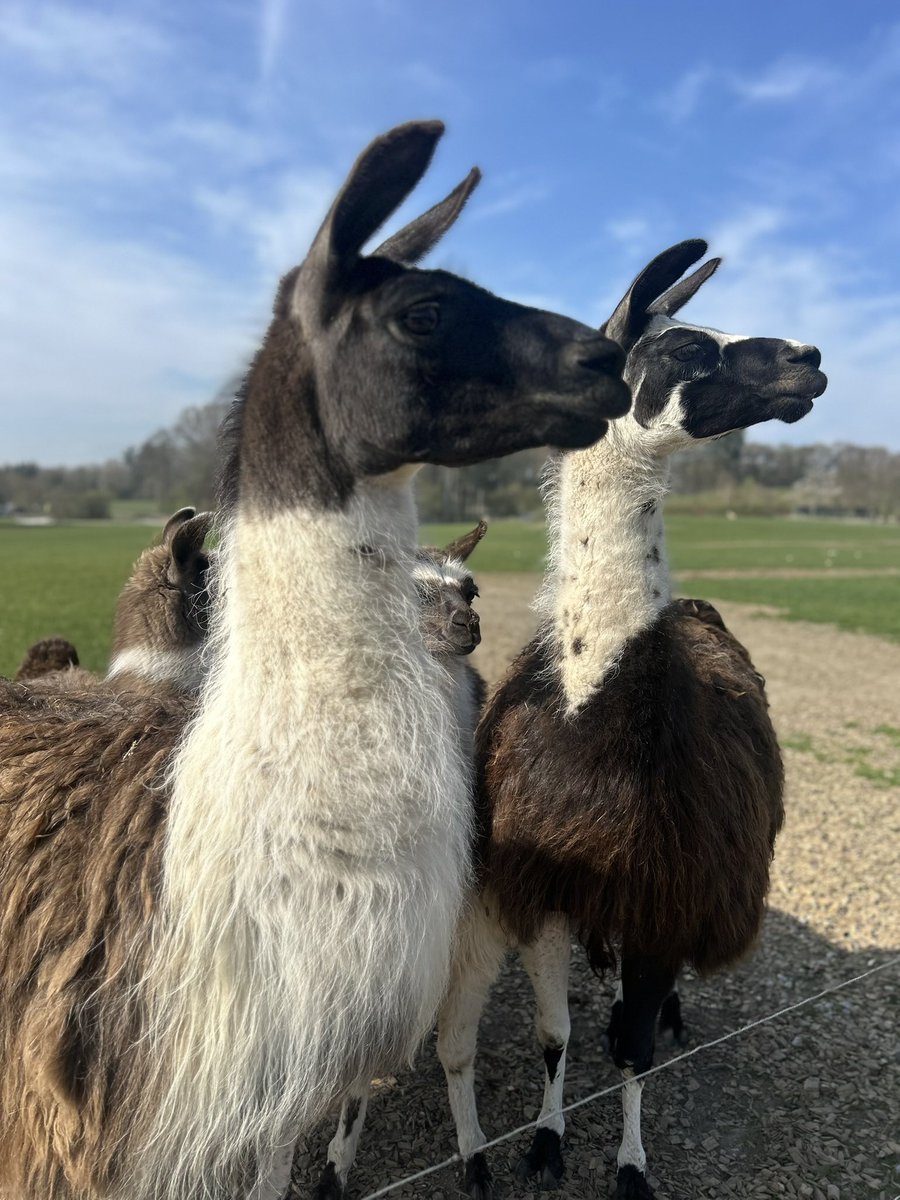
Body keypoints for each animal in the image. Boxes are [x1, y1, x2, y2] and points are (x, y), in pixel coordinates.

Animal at [436, 241, 827, 1200]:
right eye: (688, 347)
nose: (808, 358)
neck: (600, 731)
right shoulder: (541, 889)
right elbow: (555, 1036)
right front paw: (545, 1141)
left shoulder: (667, 890)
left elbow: (636, 1054)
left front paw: (632, 1166)